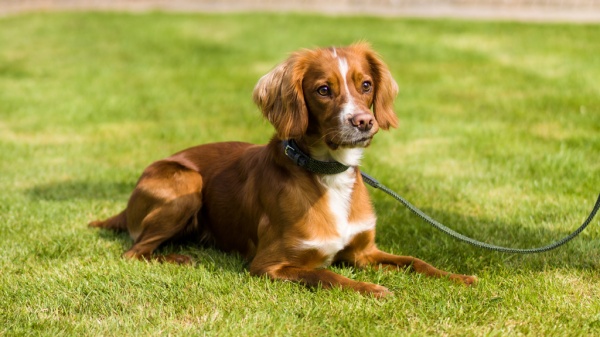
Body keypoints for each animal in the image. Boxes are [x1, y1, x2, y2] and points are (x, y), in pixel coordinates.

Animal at [89, 42, 476, 296]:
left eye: (366, 85)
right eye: (323, 90)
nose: (364, 122)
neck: (328, 172)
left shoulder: (364, 252)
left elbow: (415, 261)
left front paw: (460, 277)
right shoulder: (268, 265)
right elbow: (327, 276)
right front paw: (373, 289)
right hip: (186, 181)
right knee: (135, 252)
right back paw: (181, 258)